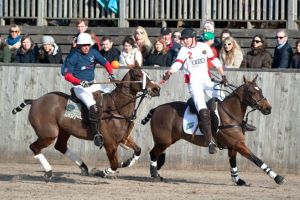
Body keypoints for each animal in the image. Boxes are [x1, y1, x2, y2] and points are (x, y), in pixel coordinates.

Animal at [12, 67, 159, 181]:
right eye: (139, 75)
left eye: (147, 74)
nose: (156, 88)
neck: (117, 108)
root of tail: (35, 100)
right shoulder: (110, 143)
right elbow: (115, 164)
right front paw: (101, 172)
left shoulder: (123, 138)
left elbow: (138, 150)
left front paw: (127, 162)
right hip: (48, 133)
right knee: (34, 147)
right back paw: (48, 172)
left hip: (64, 131)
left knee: (60, 146)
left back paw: (83, 167)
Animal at [142, 75, 284, 186]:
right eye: (251, 92)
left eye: (260, 90)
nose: (268, 108)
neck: (230, 115)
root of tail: (156, 109)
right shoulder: (238, 144)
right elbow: (256, 159)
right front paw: (278, 178)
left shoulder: (233, 146)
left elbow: (233, 162)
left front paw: (237, 180)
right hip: (163, 141)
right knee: (153, 153)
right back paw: (155, 174)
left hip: (166, 141)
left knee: (158, 155)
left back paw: (157, 173)